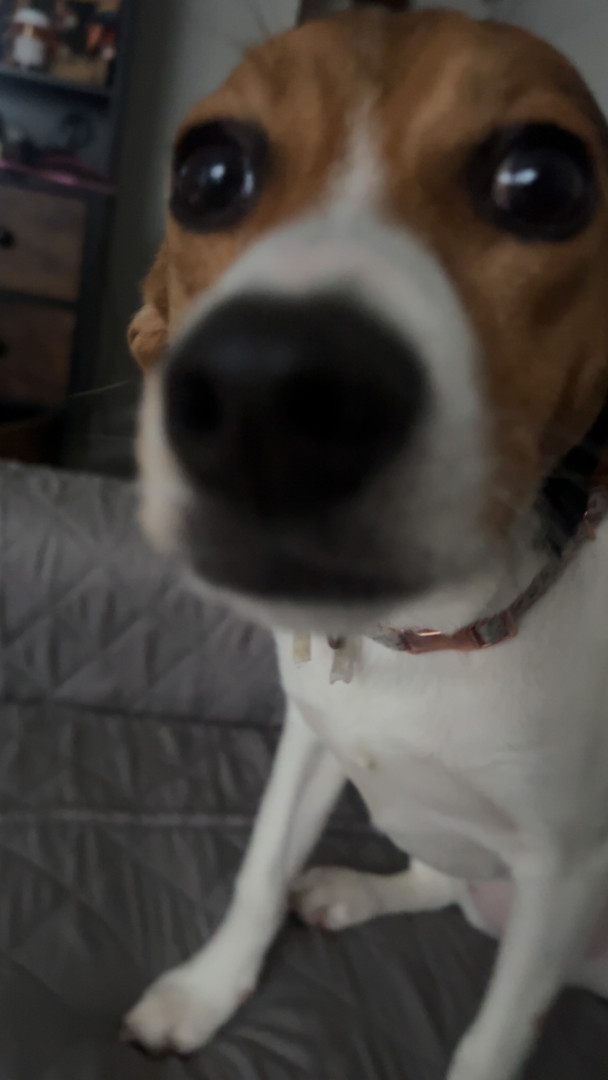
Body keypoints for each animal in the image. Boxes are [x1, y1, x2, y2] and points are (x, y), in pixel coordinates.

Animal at [122, 8, 608, 1079]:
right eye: (207, 173)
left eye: (545, 182)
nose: (266, 398)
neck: (432, 636)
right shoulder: (312, 740)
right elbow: (260, 874)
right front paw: (205, 993)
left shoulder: (565, 876)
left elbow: (491, 1040)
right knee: (443, 884)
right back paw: (351, 891)